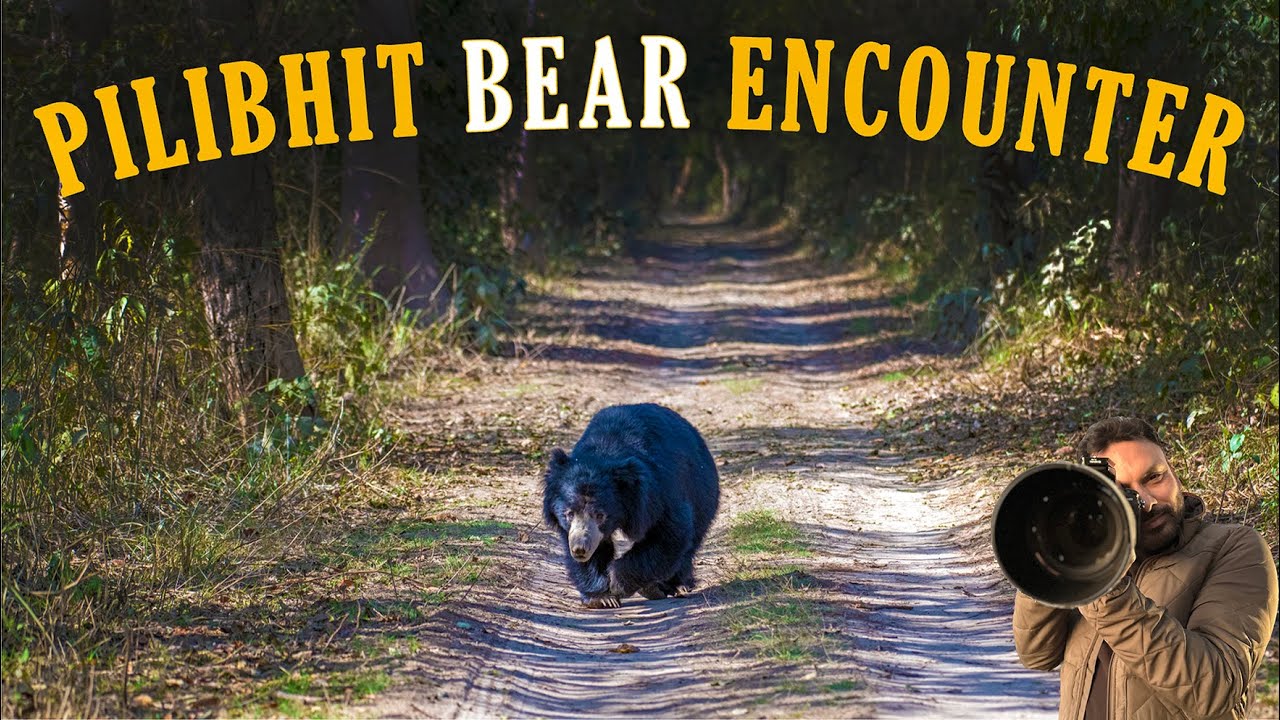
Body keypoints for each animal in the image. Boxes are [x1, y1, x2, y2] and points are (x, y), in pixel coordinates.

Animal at [542, 403, 720, 609]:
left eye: (600, 515)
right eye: (569, 513)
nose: (580, 549)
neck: (605, 451)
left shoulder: (658, 495)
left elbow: (669, 535)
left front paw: (619, 582)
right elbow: (596, 550)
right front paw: (602, 597)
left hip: (702, 494)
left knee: (691, 541)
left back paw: (674, 586)